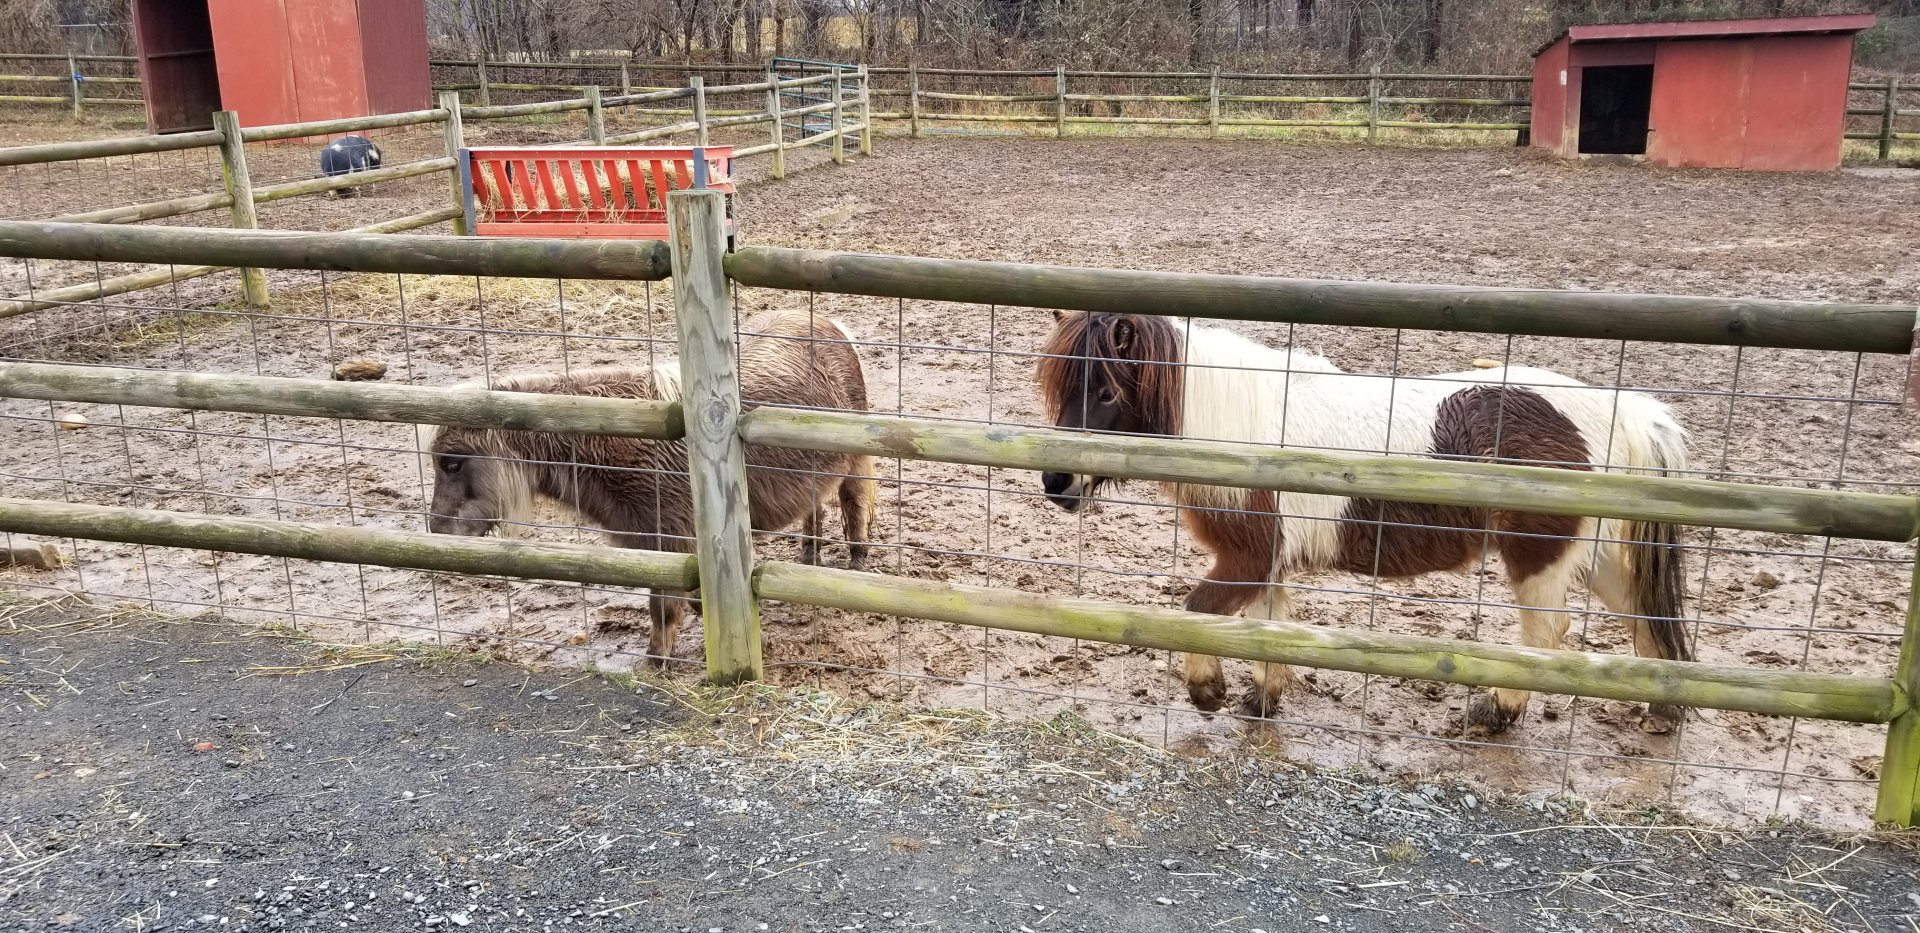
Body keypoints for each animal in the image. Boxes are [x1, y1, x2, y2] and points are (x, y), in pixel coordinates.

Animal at [422, 310, 877, 663]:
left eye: (452, 463)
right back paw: (809, 554)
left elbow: (661, 606)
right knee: (815, 507)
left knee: (854, 502)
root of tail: (833, 328)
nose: (437, 530)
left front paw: (657, 659)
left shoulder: (667, 539)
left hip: (853, 462)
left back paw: (857, 562)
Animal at [1035, 311, 1693, 736]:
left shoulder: (1247, 556)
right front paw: (1261, 701)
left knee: (1546, 636)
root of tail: (1625, 410)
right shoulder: (1268, 563)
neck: (1243, 428)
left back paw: (1496, 714)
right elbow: (1264, 628)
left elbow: (1197, 614)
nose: (1056, 482)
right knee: (1642, 616)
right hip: (1597, 554)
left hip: (1540, 555)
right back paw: (1662, 713)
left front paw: (1208, 692)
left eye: (1107, 390)